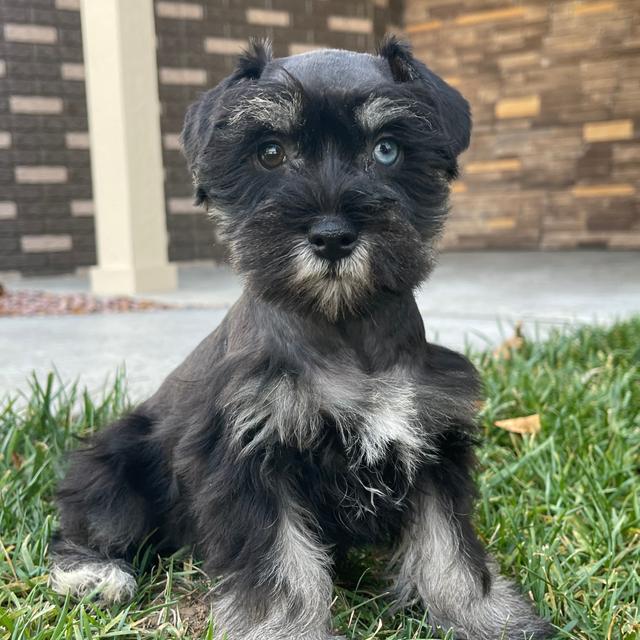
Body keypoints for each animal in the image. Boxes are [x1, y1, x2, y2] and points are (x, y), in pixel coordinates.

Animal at [48, 37, 552, 636]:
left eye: (387, 150)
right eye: (269, 152)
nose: (332, 236)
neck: (343, 326)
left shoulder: (433, 445)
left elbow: (449, 552)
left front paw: (485, 619)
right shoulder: (250, 455)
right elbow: (282, 570)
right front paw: (283, 627)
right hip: (114, 463)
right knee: (87, 524)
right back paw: (94, 574)